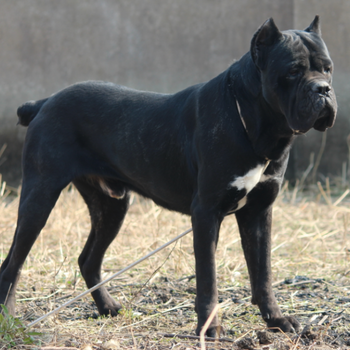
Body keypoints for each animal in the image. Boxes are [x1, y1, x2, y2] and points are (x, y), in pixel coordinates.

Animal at [0, 16, 336, 336]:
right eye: (293, 71)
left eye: (328, 69)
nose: (324, 89)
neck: (256, 125)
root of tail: (44, 102)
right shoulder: (206, 213)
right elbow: (208, 279)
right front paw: (209, 329)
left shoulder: (259, 212)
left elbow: (263, 273)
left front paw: (277, 320)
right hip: (39, 197)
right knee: (13, 262)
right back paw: (10, 315)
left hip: (111, 206)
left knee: (87, 259)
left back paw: (109, 307)